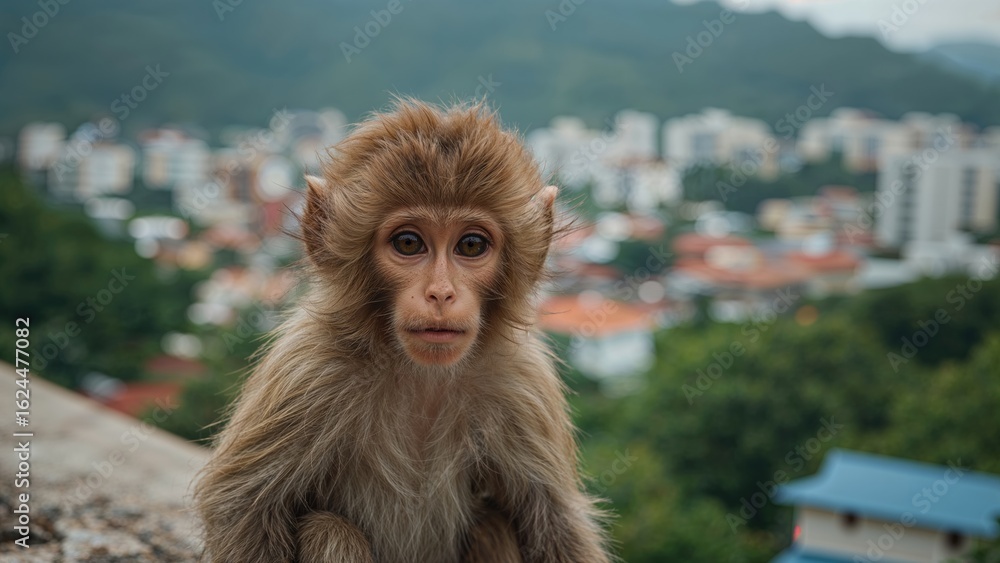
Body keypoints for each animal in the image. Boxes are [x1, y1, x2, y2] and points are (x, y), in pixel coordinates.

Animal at [194, 99, 612, 563]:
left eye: (471, 245)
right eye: (409, 243)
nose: (441, 294)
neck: (420, 373)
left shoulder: (522, 380)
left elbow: (555, 525)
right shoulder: (309, 367)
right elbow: (242, 508)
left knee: (492, 525)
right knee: (329, 530)